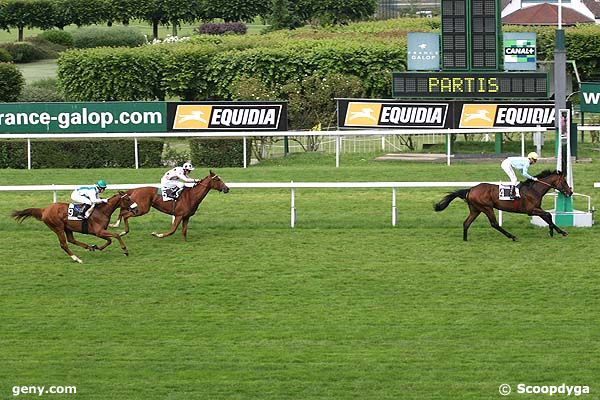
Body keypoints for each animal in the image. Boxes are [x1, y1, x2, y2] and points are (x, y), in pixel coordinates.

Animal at [436, 170, 572, 241]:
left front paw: (559, 231)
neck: (534, 189)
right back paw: (512, 236)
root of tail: (470, 189)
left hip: (475, 210)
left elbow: (548, 216)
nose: (570, 192)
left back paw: (465, 239)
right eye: (564, 181)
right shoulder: (531, 210)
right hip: (487, 208)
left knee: (466, 223)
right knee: (494, 224)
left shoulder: (537, 208)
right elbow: (548, 215)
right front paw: (554, 231)